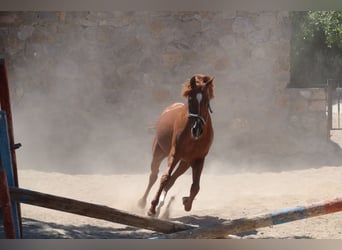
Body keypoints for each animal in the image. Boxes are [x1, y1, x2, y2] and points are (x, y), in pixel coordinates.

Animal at [138, 74, 214, 217]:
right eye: (190, 99)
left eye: (206, 100)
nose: (197, 129)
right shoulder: (174, 153)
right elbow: (164, 177)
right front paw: (152, 208)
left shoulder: (199, 159)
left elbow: (195, 186)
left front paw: (187, 202)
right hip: (159, 153)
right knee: (154, 176)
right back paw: (143, 202)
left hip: (185, 162)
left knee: (172, 180)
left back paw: (162, 205)